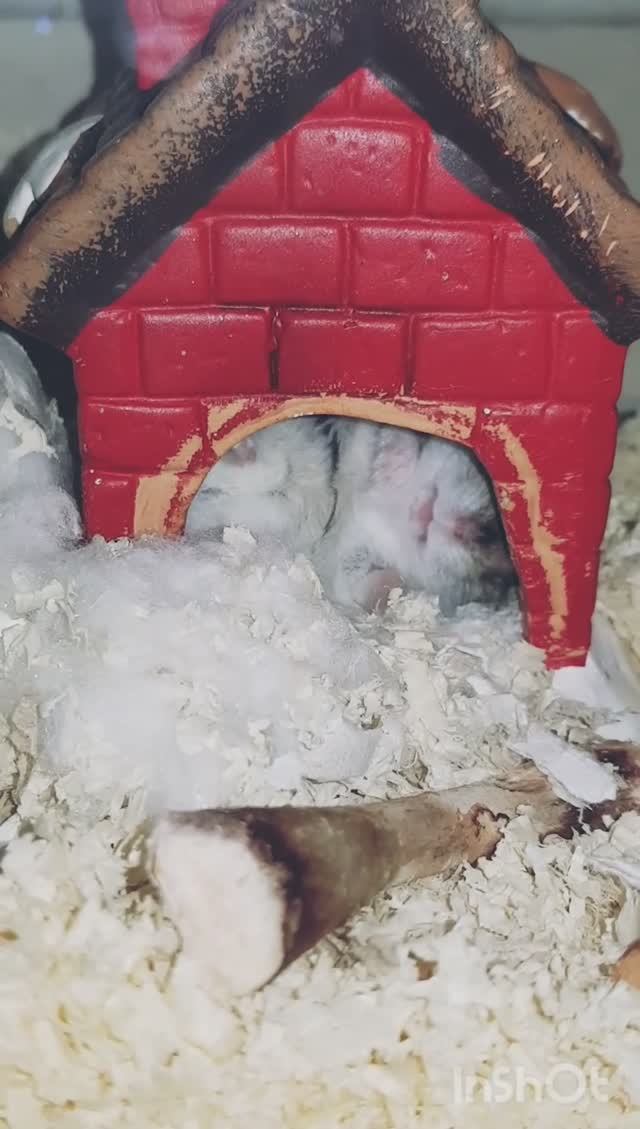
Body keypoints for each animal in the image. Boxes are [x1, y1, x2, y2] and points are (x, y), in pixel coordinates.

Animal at [314, 419, 516, 615]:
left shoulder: (346, 557)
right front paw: (395, 460)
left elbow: (354, 582)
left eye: (493, 582)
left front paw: (392, 589)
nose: (469, 531)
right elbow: (389, 437)